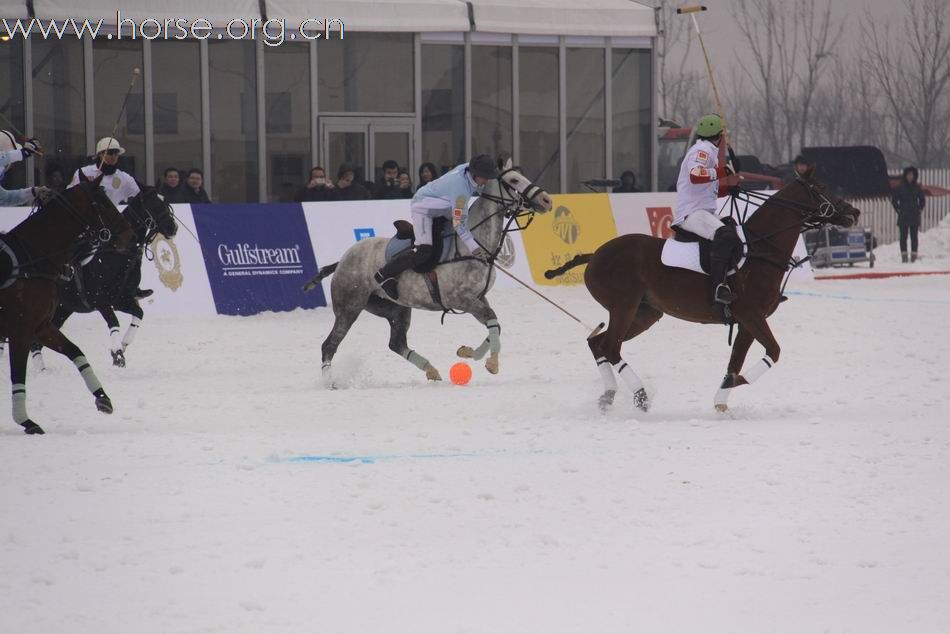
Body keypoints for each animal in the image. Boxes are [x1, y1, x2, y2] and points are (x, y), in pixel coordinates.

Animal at [0, 175, 134, 436]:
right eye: (103, 203)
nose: (128, 234)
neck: (32, 259)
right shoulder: (20, 329)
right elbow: (17, 374)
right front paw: (26, 421)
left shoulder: (40, 326)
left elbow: (75, 351)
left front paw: (103, 399)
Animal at [29, 185, 179, 368]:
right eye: (153, 203)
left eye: (165, 201)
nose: (173, 228)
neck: (119, 254)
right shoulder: (102, 301)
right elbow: (114, 322)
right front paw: (118, 355)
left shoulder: (121, 300)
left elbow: (139, 313)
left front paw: (123, 344)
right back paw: (40, 370)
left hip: (64, 308)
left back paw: (42, 370)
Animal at [304, 159, 556, 386]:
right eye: (514, 180)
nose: (547, 200)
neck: (474, 245)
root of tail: (342, 260)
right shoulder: (462, 299)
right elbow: (493, 319)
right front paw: (492, 363)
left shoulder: (479, 297)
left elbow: (496, 324)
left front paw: (467, 353)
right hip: (349, 307)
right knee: (329, 344)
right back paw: (330, 382)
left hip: (395, 310)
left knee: (396, 343)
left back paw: (431, 370)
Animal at [544, 170, 864, 412]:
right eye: (820, 188)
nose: (854, 212)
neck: (761, 248)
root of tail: (595, 254)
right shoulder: (751, 313)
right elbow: (773, 351)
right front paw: (732, 385)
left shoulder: (747, 321)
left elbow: (736, 361)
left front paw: (722, 401)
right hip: (624, 305)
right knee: (610, 346)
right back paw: (641, 396)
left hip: (646, 313)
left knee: (598, 344)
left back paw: (608, 397)